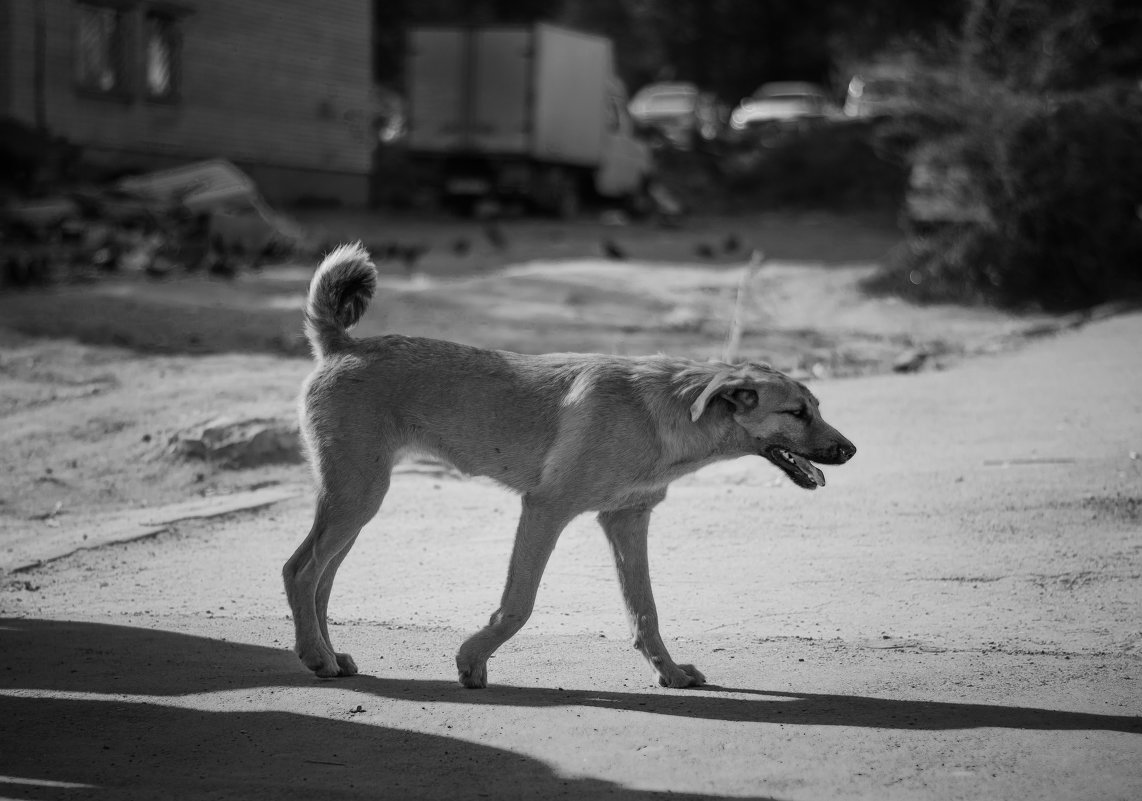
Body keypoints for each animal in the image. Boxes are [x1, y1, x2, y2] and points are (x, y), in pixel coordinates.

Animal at [285, 243, 858, 685]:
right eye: (797, 412)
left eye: (818, 407)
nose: (850, 450)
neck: (661, 413)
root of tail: (341, 345)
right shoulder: (545, 509)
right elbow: (519, 603)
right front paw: (471, 661)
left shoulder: (626, 521)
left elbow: (645, 611)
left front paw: (670, 674)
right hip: (357, 496)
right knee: (300, 570)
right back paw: (316, 657)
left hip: (354, 502)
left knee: (321, 580)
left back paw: (330, 656)